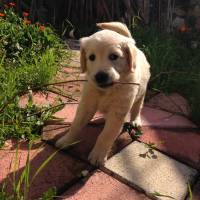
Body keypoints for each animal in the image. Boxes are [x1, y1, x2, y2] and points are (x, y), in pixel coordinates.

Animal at [55, 21, 151, 166]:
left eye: (114, 56)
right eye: (91, 57)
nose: (100, 76)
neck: (107, 90)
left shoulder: (118, 111)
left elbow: (105, 135)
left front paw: (98, 155)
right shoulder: (87, 104)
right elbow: (76, 125)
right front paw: (66, 141)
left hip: (141, 92)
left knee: (137, 107)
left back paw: (135, 121)